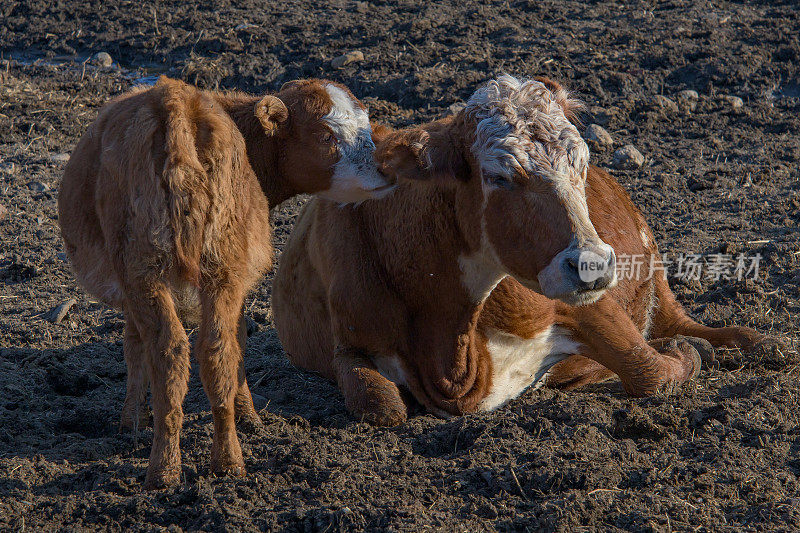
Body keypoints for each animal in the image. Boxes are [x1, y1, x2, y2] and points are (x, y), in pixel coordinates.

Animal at [58, 75, 390, 486]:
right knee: (214, 350)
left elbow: (136, 346)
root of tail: (175, 102)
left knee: (174, 351)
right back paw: (226, 462)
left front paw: (132, 422)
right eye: (326, 136)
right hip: (216, 268)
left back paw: (165, 469)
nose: (384, 170)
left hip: (149, 271)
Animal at [272, 75, 772, 424]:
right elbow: (381, 406)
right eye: (499, 176)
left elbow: (648, 368)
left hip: (652, 269)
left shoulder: (581, 304)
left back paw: (755, 342)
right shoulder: (348, 346)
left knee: (681, 320)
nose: (592, 266)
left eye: (580, 163)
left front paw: (686, 353)